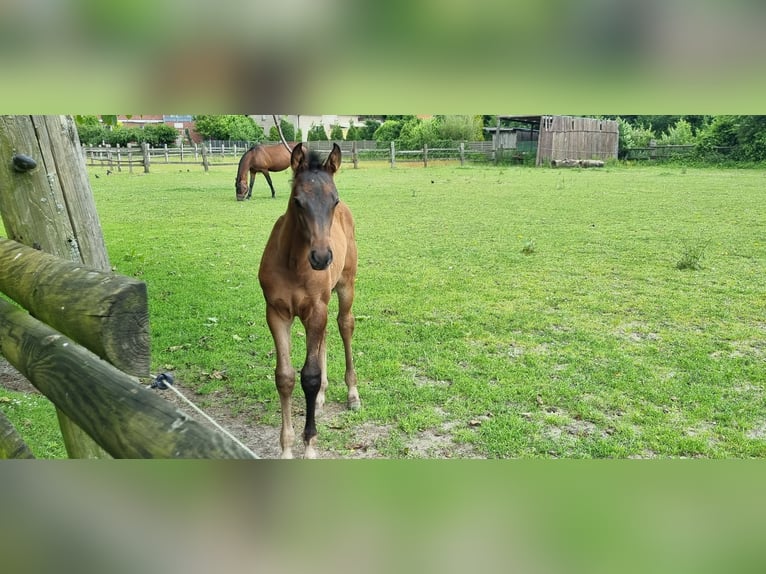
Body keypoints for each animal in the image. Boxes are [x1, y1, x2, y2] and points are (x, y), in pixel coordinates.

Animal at [258, 143, 360, 460]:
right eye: (298, 201)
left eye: (334, 200)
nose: (322, 257)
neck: (293, 262)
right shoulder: (277, 313)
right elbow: (286, 377)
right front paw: (286, 448)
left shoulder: (315, 310)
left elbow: (310, 377)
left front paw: (310, 445)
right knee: (325, 338)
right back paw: (322, 398)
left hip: (345, 287)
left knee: (344, 325)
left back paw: (353, 394)